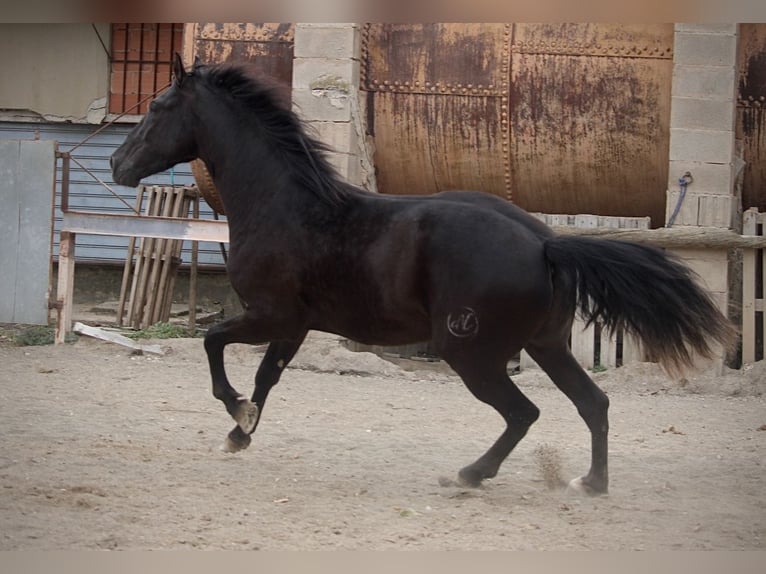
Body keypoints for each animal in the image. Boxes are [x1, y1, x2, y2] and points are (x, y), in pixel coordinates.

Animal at [111, 58, 736, 498]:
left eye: (158, 106)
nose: (118, 164)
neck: (284, 205)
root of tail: (544, 242)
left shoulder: (270, 315)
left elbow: (213, 344)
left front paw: (235, 413)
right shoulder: (294, 326)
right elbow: (267, 378)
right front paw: (241, 431)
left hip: (472, 354)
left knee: (524, 413)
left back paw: (468, 474)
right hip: (548, 345)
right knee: (595, 404)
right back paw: (591, 484)